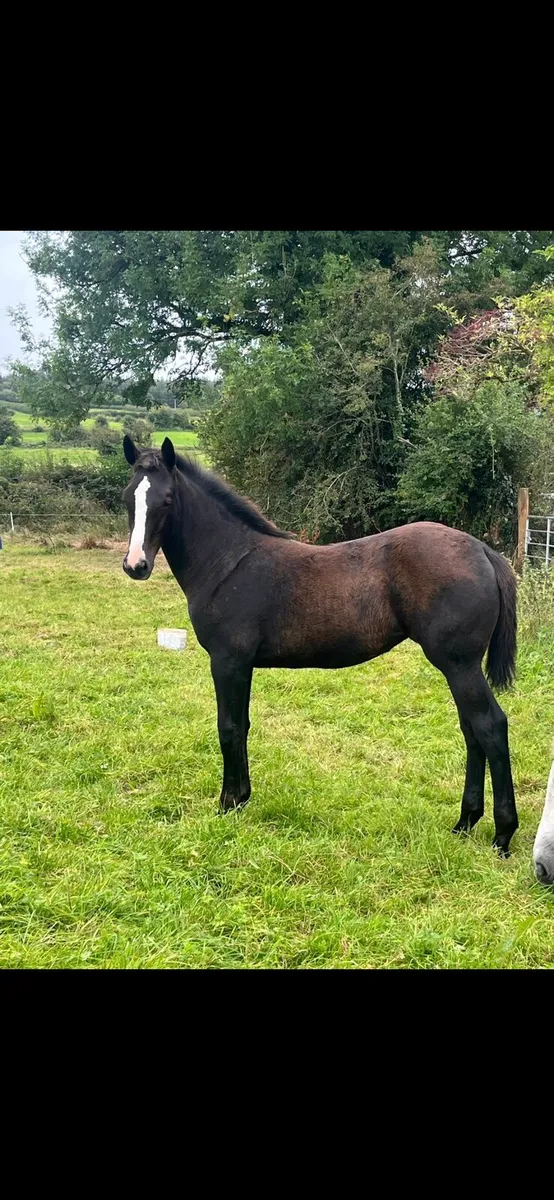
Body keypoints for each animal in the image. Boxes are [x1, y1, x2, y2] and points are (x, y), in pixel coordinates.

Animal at [121, 435, 519, 856]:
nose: (136, 565)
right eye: (128, 497)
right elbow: (243, 726)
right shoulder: (242, 665)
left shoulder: (228, 661)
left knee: (490, 726)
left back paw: (502, 834)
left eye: (166, 500)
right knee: (471, 730)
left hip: (460, 664)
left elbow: (228, 727)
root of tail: (483, 552)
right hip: (459, 668)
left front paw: (227, 804)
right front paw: (242, 798)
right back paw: (464, 823)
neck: (227, 561)